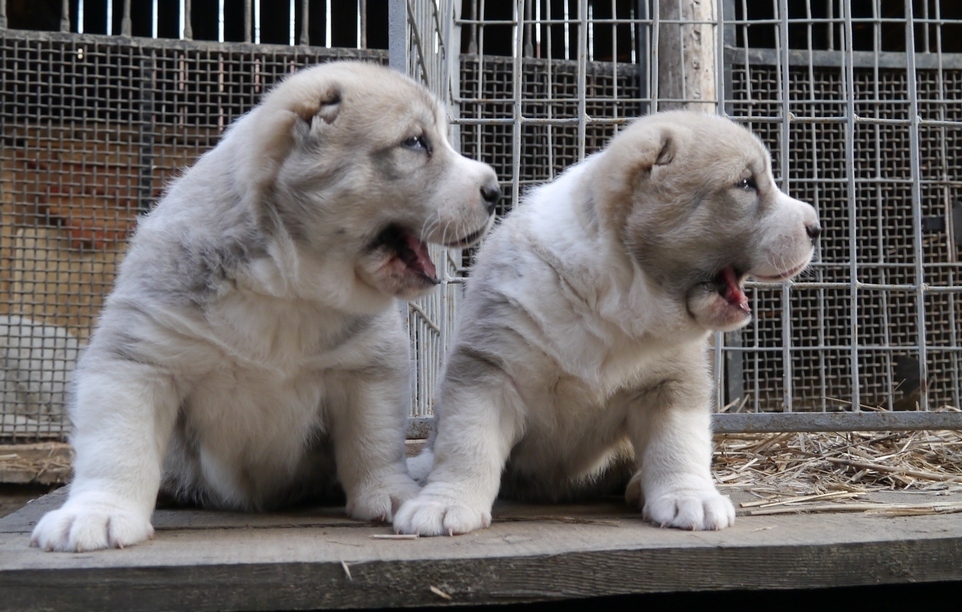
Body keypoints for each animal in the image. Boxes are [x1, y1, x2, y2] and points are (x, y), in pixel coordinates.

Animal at [28, 59, 502, 552]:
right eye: (415, 142)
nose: (495, 190)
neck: (289, 283)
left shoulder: (369, 368)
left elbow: (372, 439)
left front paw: (390, 493)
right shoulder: (138, 355)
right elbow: (118, 447)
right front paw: (97, 513)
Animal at [390, 110, 816, 536]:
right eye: (745, 183)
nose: (816, 227)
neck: (616, 299)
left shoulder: (673, 381)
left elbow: (679, 444)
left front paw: (690, 497)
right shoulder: (487, 367)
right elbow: (466, 444)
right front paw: (445, 503)